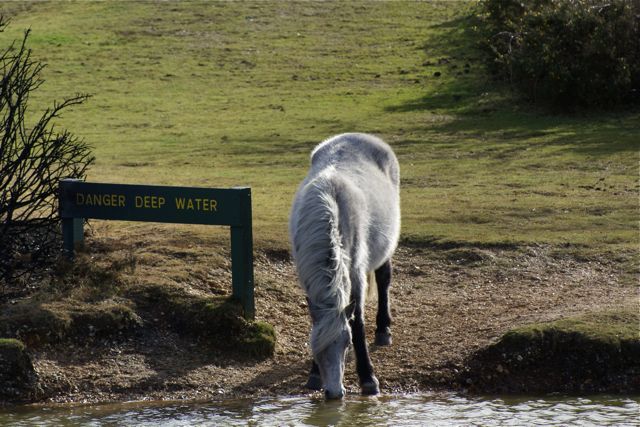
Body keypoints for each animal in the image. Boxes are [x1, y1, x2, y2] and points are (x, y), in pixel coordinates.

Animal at [290, 133, 400, 398]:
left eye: (347, 344)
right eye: (315, 348)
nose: (334, 392)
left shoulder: (356, 274)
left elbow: (357, 320)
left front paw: (368, 378)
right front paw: (313, 375)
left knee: (384, 279)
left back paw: (383, 330)